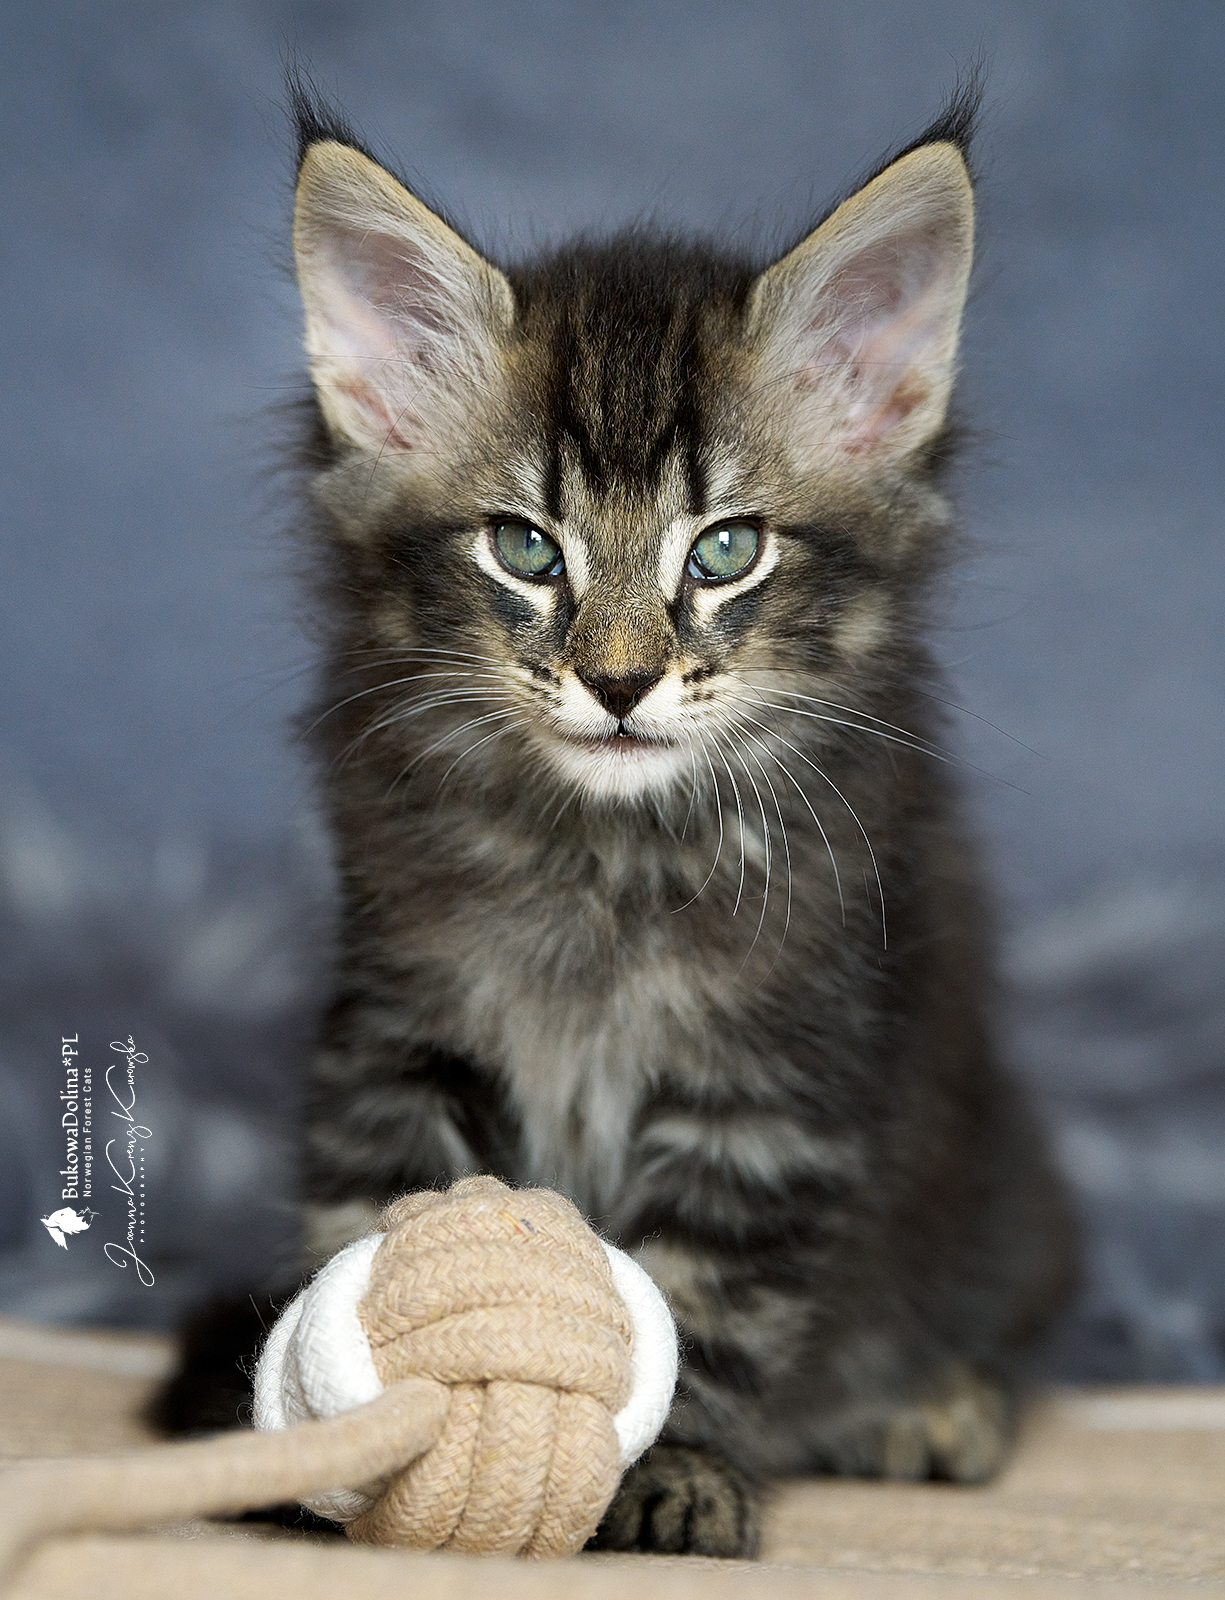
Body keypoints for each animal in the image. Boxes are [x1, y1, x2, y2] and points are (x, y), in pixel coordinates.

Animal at [155, 79, 1076, 1559]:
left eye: (726, 550)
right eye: (526, 548)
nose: (623, 678)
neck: (603, 856)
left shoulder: (771, 1080)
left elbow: (699, 1300)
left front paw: (678, 1471)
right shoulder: (400, 1025)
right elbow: (378, 1222)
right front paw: (336, 1436)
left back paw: (935, 1408)